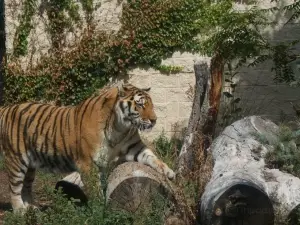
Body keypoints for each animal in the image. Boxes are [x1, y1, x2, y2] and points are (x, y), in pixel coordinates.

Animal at [0, 83, 175, 213]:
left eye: (151, 105)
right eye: (140, 105)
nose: (154, 120)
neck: (120, 128)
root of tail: (7, 108)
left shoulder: (134, 146)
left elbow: (151, 157)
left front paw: (169, 172)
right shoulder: (87, 163)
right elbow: (95, 189)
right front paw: (101, 210)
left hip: (31, 165)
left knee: (26, 186)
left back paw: (32, 207)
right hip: (17, 159)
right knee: (14, 187)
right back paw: (20, 211)